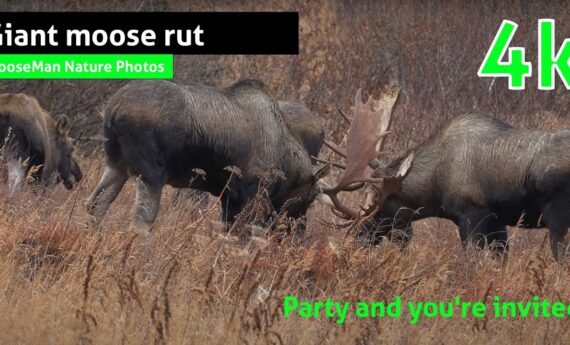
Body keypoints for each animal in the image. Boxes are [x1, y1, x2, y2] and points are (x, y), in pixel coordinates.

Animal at [88, 79, 328, 232]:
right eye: (311, 197)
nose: (297, 232)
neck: (286, 163)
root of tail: (114, 109)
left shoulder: (230, 197)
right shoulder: (254, 195)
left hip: (116, 165)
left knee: (95, 205)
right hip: (151, 173)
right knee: (141, 222)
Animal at [322, 87, 570, 260]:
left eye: (375, 211)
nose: (354, 242)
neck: (434, 187)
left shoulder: (472, 215)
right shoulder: (497, 222)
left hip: (557, 218)